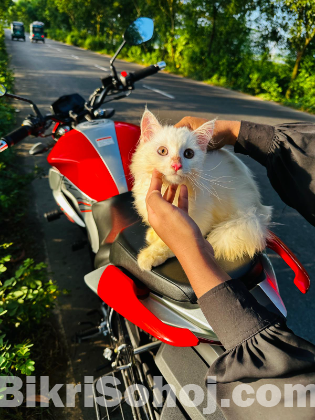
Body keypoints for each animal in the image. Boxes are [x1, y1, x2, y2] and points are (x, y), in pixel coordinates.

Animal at [130, 110, 272, 270]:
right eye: (162, 151)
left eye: (188, 154)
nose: (176, 165)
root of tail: (258, 209)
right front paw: (153, 234)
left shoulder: (199, 220)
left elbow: (166, 244)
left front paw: (148, 256)